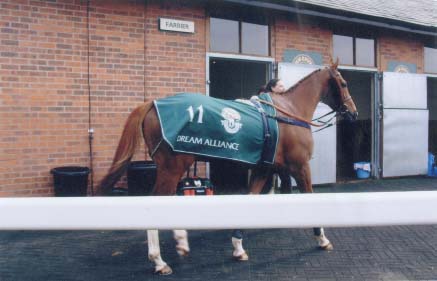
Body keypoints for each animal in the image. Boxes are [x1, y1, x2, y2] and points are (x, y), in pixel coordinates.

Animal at [99, 60, 358, 274]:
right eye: (344, 83)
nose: (353, 112)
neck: (289, 112)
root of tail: (152, 104)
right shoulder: (300, 167)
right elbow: (308, 194)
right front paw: (322, 239)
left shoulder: (264, 169)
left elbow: (251, 197)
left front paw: (238, 247)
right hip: (171, 169)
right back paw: (159, 260)